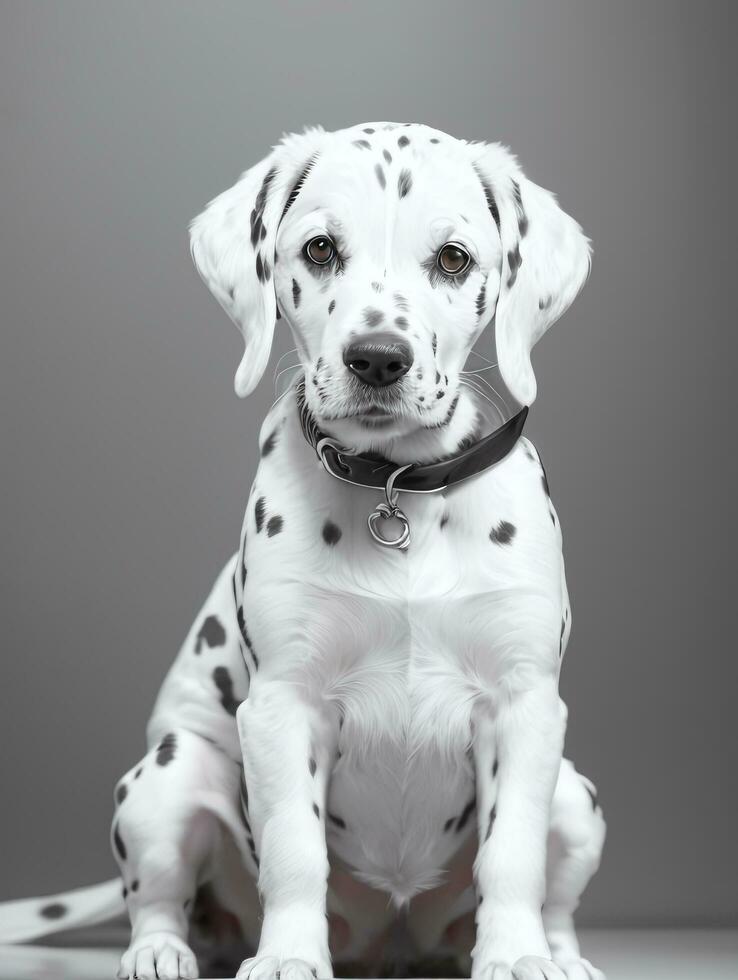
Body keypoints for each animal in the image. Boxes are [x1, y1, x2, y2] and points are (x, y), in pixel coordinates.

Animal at [0, 122, 604, 980]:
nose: (377, 358)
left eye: (454, 259)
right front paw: (288, 956)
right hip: (167, 779)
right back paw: (160, 953)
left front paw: (518, 956)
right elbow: (294, 851)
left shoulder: (526, 709)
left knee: (558, 899)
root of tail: (391, 950)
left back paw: (558, 953)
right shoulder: (283, 707)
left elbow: (511, 855)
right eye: (320, 250)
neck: (399, 491)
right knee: (157, 897)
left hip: (577, 800)